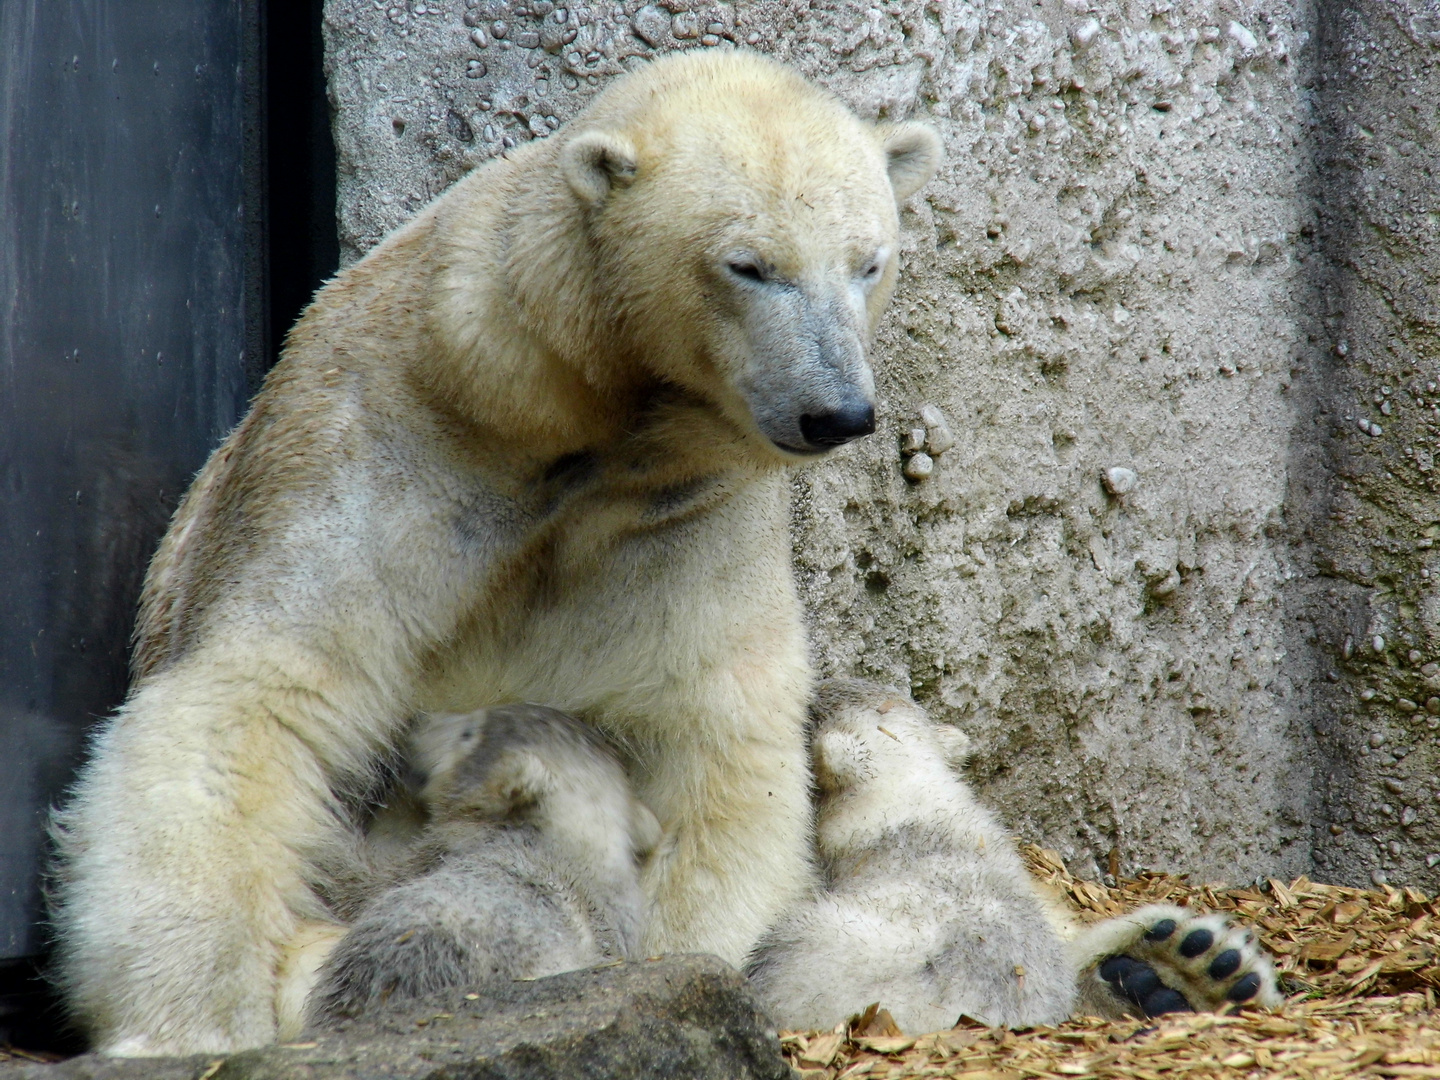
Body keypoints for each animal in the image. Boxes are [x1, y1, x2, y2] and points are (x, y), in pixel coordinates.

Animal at [53, 50, 944, 1059]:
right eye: (749, 266)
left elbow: (713, 731)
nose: (837, 412)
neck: (557, 420)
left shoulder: (681, 513)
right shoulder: (375, 443)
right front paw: (193, 1018)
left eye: (869, 261)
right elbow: (259, 695)